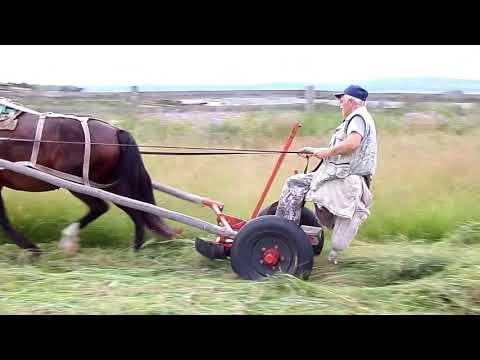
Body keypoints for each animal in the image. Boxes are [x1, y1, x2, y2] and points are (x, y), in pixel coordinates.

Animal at [0, 100, 182, 255]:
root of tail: (116, 131)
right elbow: (4, 219)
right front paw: (30, 248)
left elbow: (4, 220)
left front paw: (31, 248)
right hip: (110, 185)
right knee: (135, 210)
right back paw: (136, 250)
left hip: (77, 182)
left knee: (103, 207)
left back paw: (69, 239)